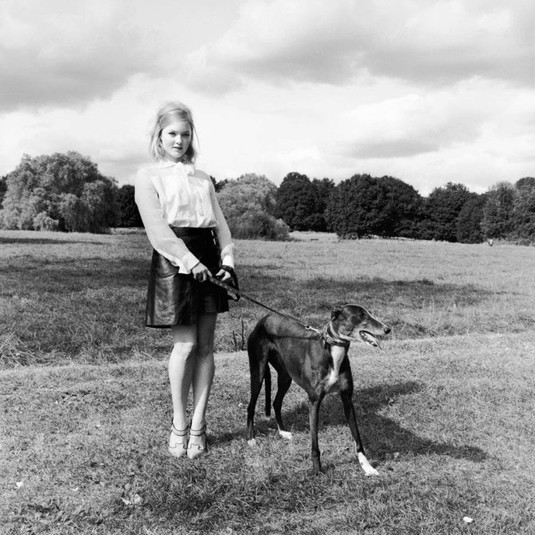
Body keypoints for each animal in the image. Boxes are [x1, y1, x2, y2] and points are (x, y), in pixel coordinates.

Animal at [246, 304, 391, 475]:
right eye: (361, 315)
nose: (387, 329)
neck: (332, 350)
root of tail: (264, 318)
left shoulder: (347, 399)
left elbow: (357, 437)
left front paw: (366, 466)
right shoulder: (314, 401)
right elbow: (315, 443)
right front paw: (317, 470)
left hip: (285, 376)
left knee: (276, 402)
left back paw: (282, 432)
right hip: (258, 372)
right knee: (250, 406)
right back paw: (251, 438)